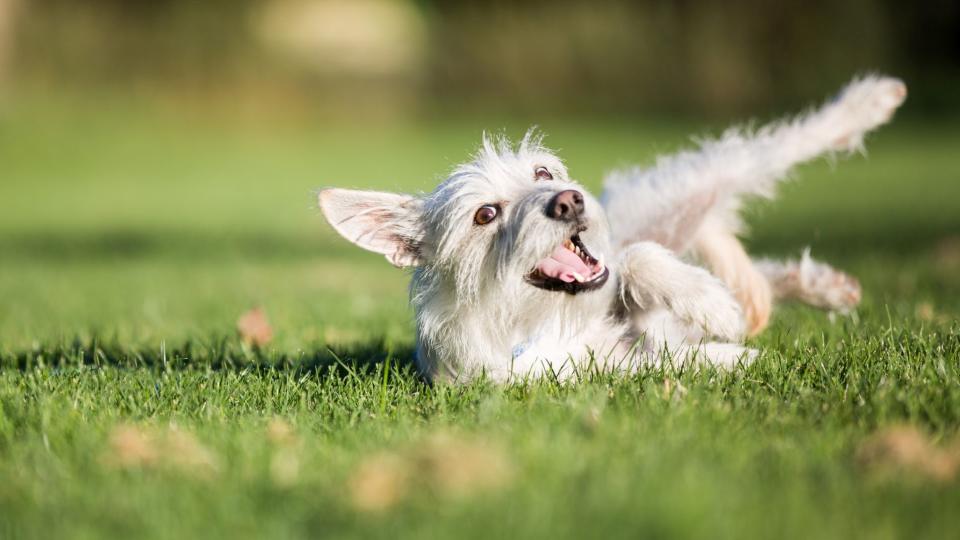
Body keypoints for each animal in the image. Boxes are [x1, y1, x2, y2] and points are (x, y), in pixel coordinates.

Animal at [320, 74, 908, 382]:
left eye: (542, 173)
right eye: (484, 215)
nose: (568, 200)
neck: (536, 320)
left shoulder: (615, 278)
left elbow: (639, 261)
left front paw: (713, 308)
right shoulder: (591, 373)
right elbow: (668, 360)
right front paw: (732, 355)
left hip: (693, 184)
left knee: (782, 145)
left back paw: (868, 101)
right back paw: (820, 287)